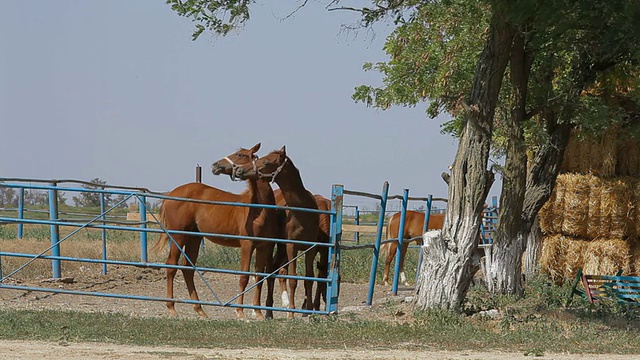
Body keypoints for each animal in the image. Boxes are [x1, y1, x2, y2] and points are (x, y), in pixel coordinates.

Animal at [154, 142, 282, 320]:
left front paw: (258, 313)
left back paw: (200, 310)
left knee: (187, 269)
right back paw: (172, 308)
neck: (260, 210)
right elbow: (244, 276)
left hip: (193, 239)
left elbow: (259, 277)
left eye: (240, 155)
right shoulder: (247, 245)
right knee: (171, 266)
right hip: (178, 237)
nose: (215, 165)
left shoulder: (265, 246)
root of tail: (171, 194)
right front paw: (240, 312)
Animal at [235, 146, 320, 318]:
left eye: (267, 162)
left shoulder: (310, 248)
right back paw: (268, 311)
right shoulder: (291, 246)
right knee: (271, 271)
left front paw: (307, 312)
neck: (303, 212)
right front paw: (291, 313)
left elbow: (309, 278)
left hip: (281, 249)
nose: (240, 170)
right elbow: (293, 279)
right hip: (275, 246)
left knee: (276, 270)